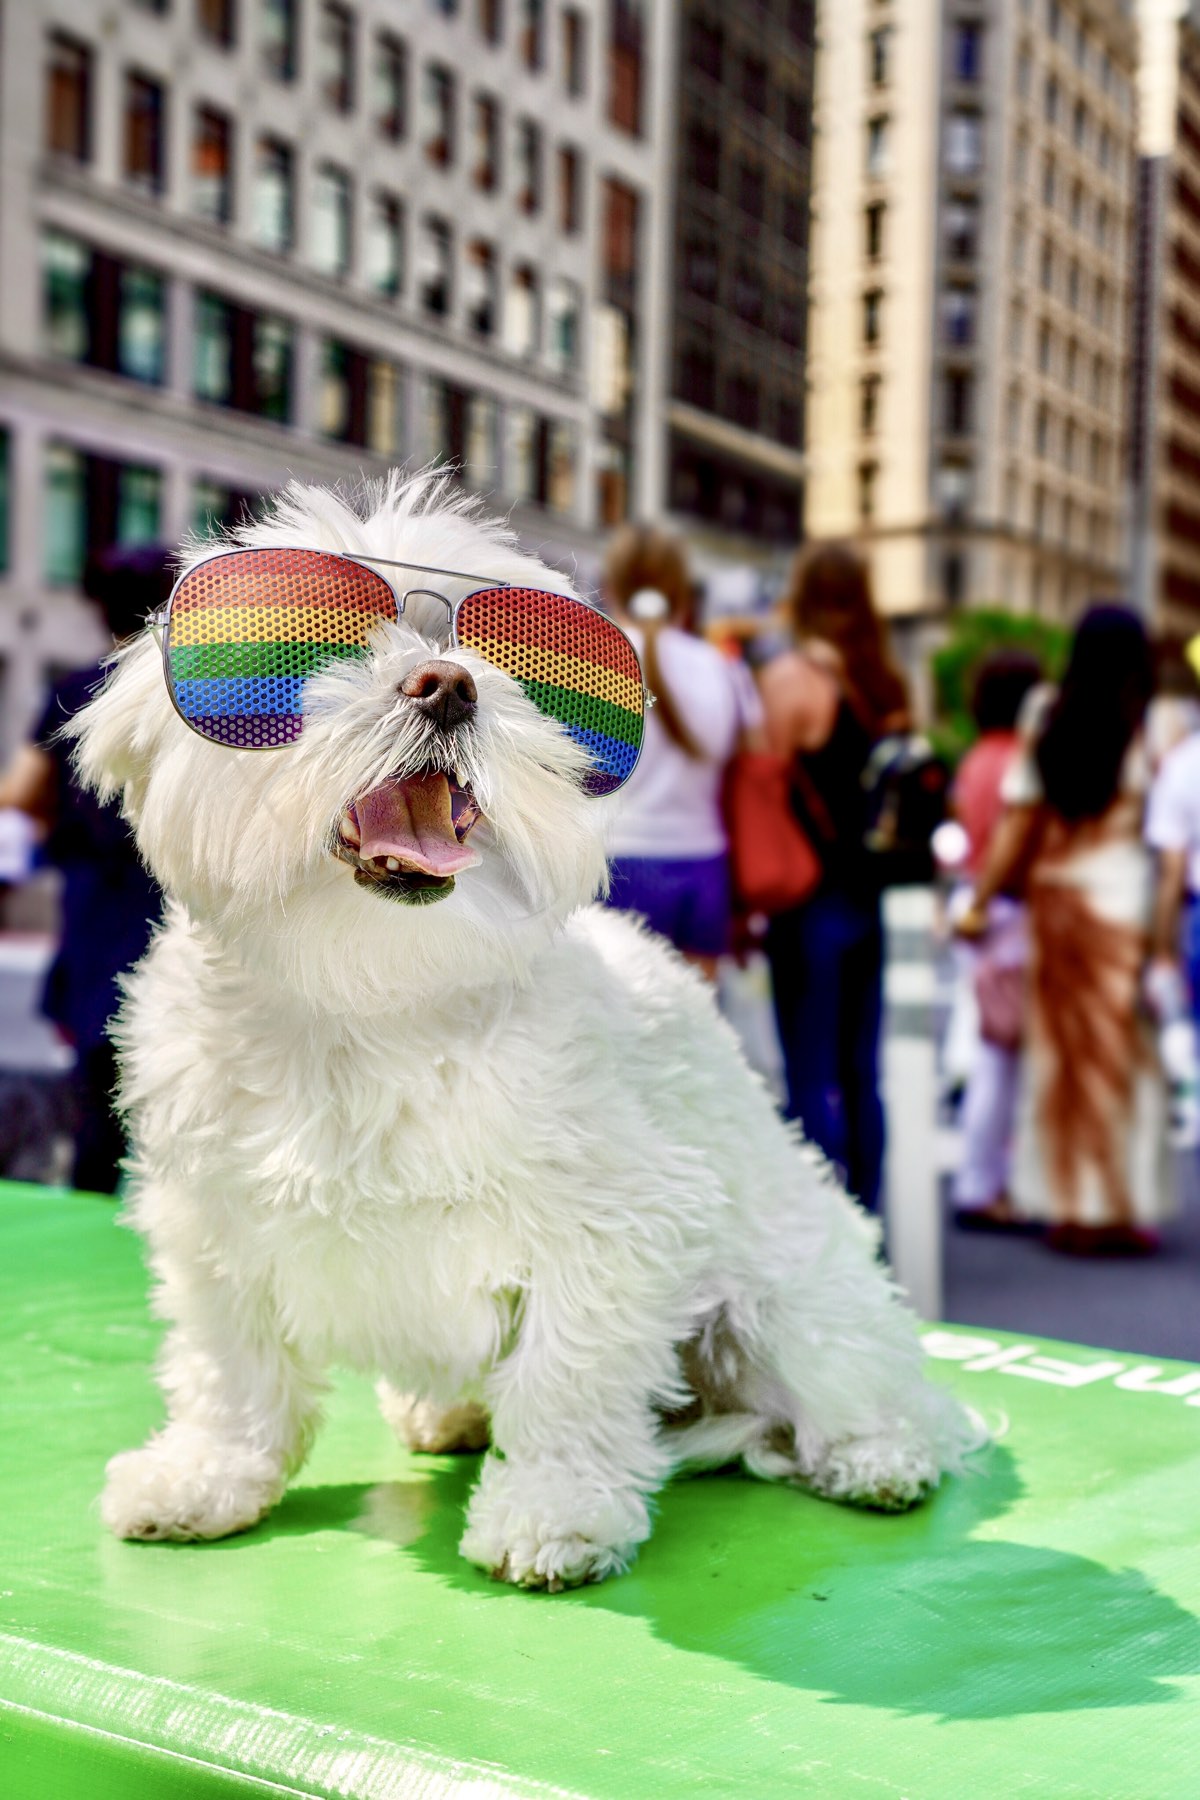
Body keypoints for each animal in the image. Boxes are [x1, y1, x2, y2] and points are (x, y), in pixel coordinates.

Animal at [72, 475, 978, 1591]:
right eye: (307, 641)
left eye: (515, 659)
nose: (447, 684)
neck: (367, 1000)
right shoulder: (213, 1223)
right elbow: (230, 1368)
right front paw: (208, 1474)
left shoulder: (613, 1226)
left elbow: (566, 1377)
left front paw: (558, 1509)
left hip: (787, 1302)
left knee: (865, 1378)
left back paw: (877, 1453)